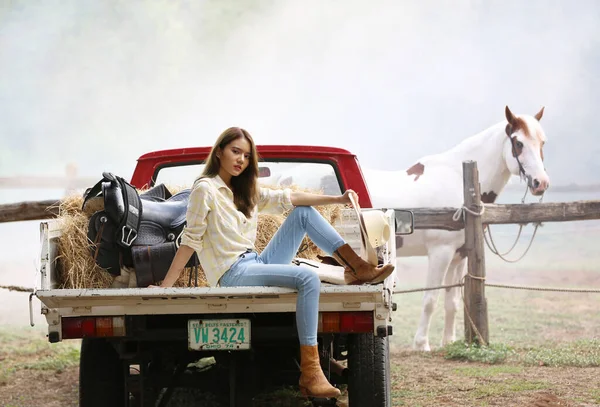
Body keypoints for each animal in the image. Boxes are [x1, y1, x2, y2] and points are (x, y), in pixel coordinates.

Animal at [364, 107, 552, 352]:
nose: (541, 183)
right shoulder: (440, 253)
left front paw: (448, 342)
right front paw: (422, 344)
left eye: (542, 142)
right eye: (518, 143)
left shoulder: (458, 256)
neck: (458, 181)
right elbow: (430, 300)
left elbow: (451, 301)